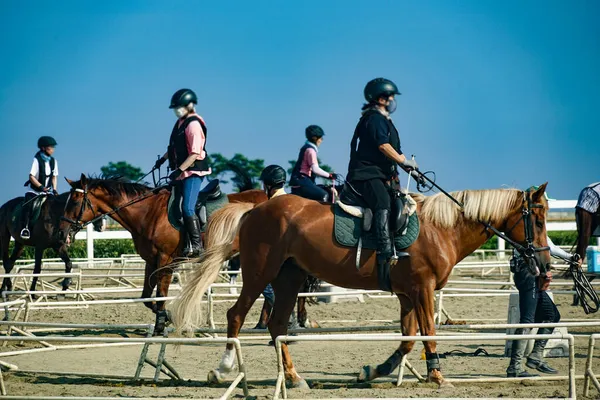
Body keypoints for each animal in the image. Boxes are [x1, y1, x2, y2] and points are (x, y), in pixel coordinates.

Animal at [58, 175, 268, 334]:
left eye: (75, 200)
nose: (61, 232)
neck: (149, 213)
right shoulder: (151, 261)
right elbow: (146, 297)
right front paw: (167, 317)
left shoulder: (165, 260)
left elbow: (160, 294)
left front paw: (160, 324)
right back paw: (263, 324)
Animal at [171, 185, 552, 390]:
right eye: (538, 219)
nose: (546, 266)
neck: (441, 227)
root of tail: (255, 209)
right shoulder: (423, 289)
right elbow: (428, 333)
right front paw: (438, 375)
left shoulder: (408, 294)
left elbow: (408, 339)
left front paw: (373, 371)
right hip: (259, 273)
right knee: (236, 316)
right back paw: (223, 370)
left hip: (289, 279)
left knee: (278, 325)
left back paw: (294, 378)